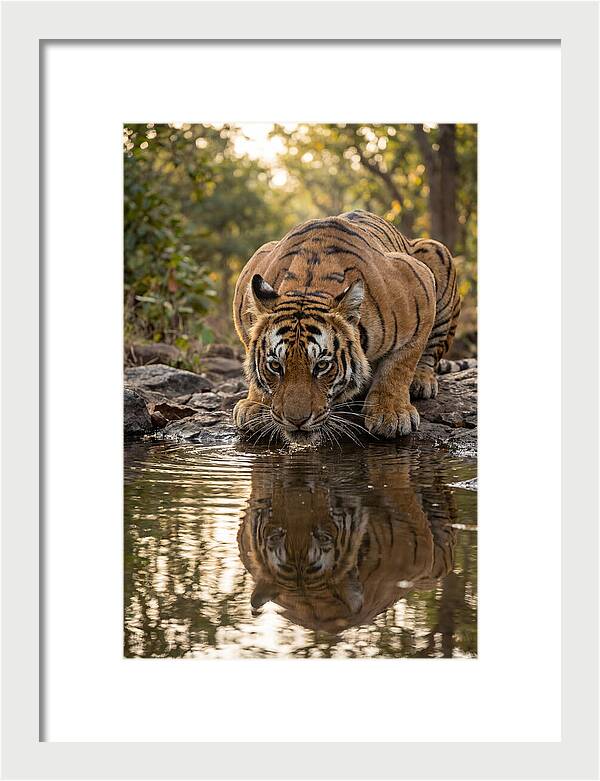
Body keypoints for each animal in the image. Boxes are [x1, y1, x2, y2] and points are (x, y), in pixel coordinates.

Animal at [232, 209, 462, 444]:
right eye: (275, 366)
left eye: (322, 366)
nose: (296, 421)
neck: (308, 286)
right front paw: (255, 404)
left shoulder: (419, 284)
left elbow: (400, 364)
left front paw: (391, 413)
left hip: (437, 252)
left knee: (431, 350)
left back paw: (421, 381)